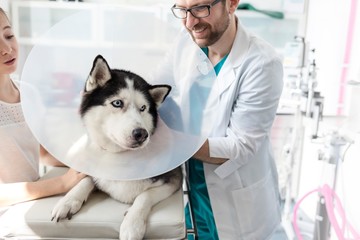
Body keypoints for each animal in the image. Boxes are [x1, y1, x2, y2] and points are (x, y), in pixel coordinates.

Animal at [51, 55, 183, 240]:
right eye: (117, 103)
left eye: (143, 108)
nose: (141, 134)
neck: (119, 156)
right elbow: (86, 179)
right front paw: (68, 201)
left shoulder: (173, 179)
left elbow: (145, 195)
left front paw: (132, 224)